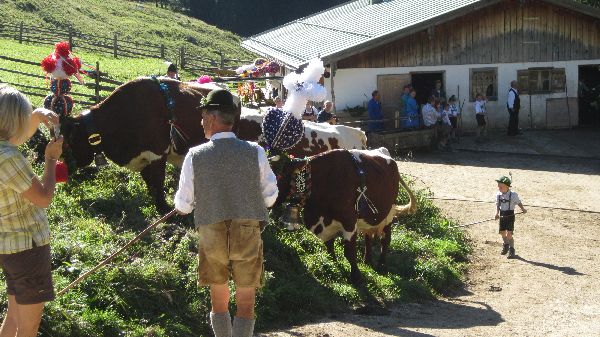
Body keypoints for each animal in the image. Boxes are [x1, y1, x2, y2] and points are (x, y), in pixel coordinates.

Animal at [272, 148, 418, 282]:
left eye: (278, 175)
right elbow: (329, 245)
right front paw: (332, 263)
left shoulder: (349, 221)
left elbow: (349, 253)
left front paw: (356, 277)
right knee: (368, 237)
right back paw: (367, 261)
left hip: (389, 213)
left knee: (385, 239)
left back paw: (381, 265)